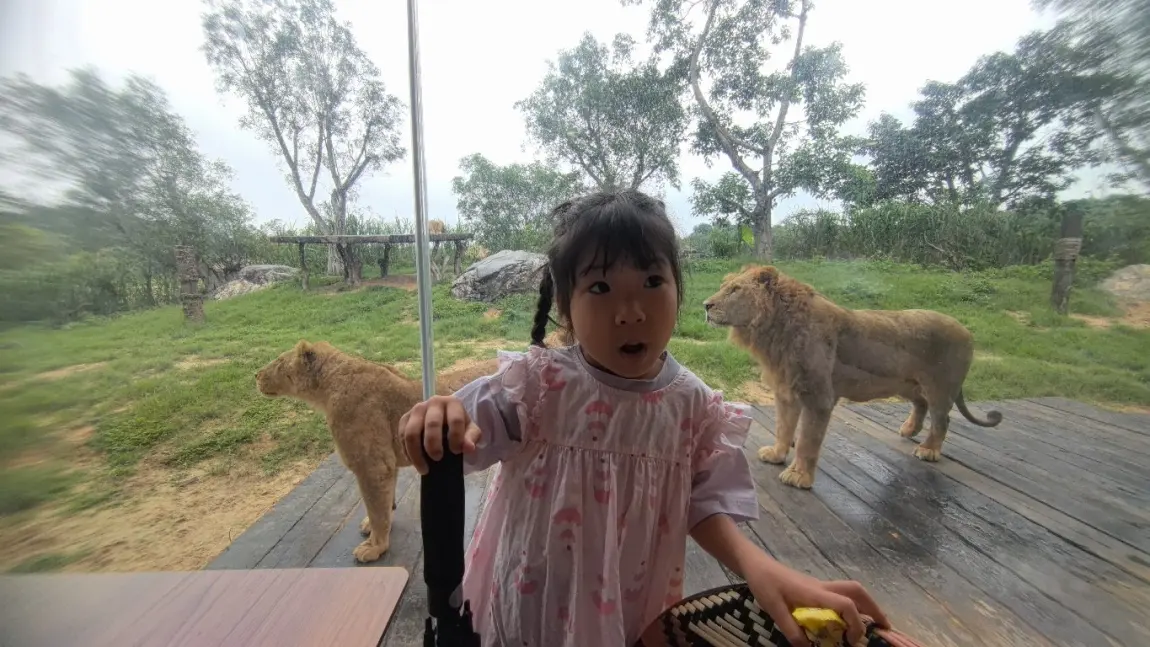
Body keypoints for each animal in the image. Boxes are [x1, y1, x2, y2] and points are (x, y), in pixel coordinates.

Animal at [255, 340, 498, 562]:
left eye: (278, 361)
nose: (256, 374)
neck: (327, 388)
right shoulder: (388, 462)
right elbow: (384, 502)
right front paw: (374, 528)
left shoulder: (373, 466)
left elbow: (375, 507)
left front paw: (375, 547)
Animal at [702, 264, 1002, 489]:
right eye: (724, 285)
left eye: (735, 290)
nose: (705, 305)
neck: (772, 331)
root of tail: (966, 330)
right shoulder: (786, 392)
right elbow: (783, 428)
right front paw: (776, 455)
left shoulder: (819, 398)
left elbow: (808, 440)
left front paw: (799, 476)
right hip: (908, 384)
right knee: (921, 404)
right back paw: (908, 430)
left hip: (941, 387)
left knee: (942, 419)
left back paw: (928, 450)